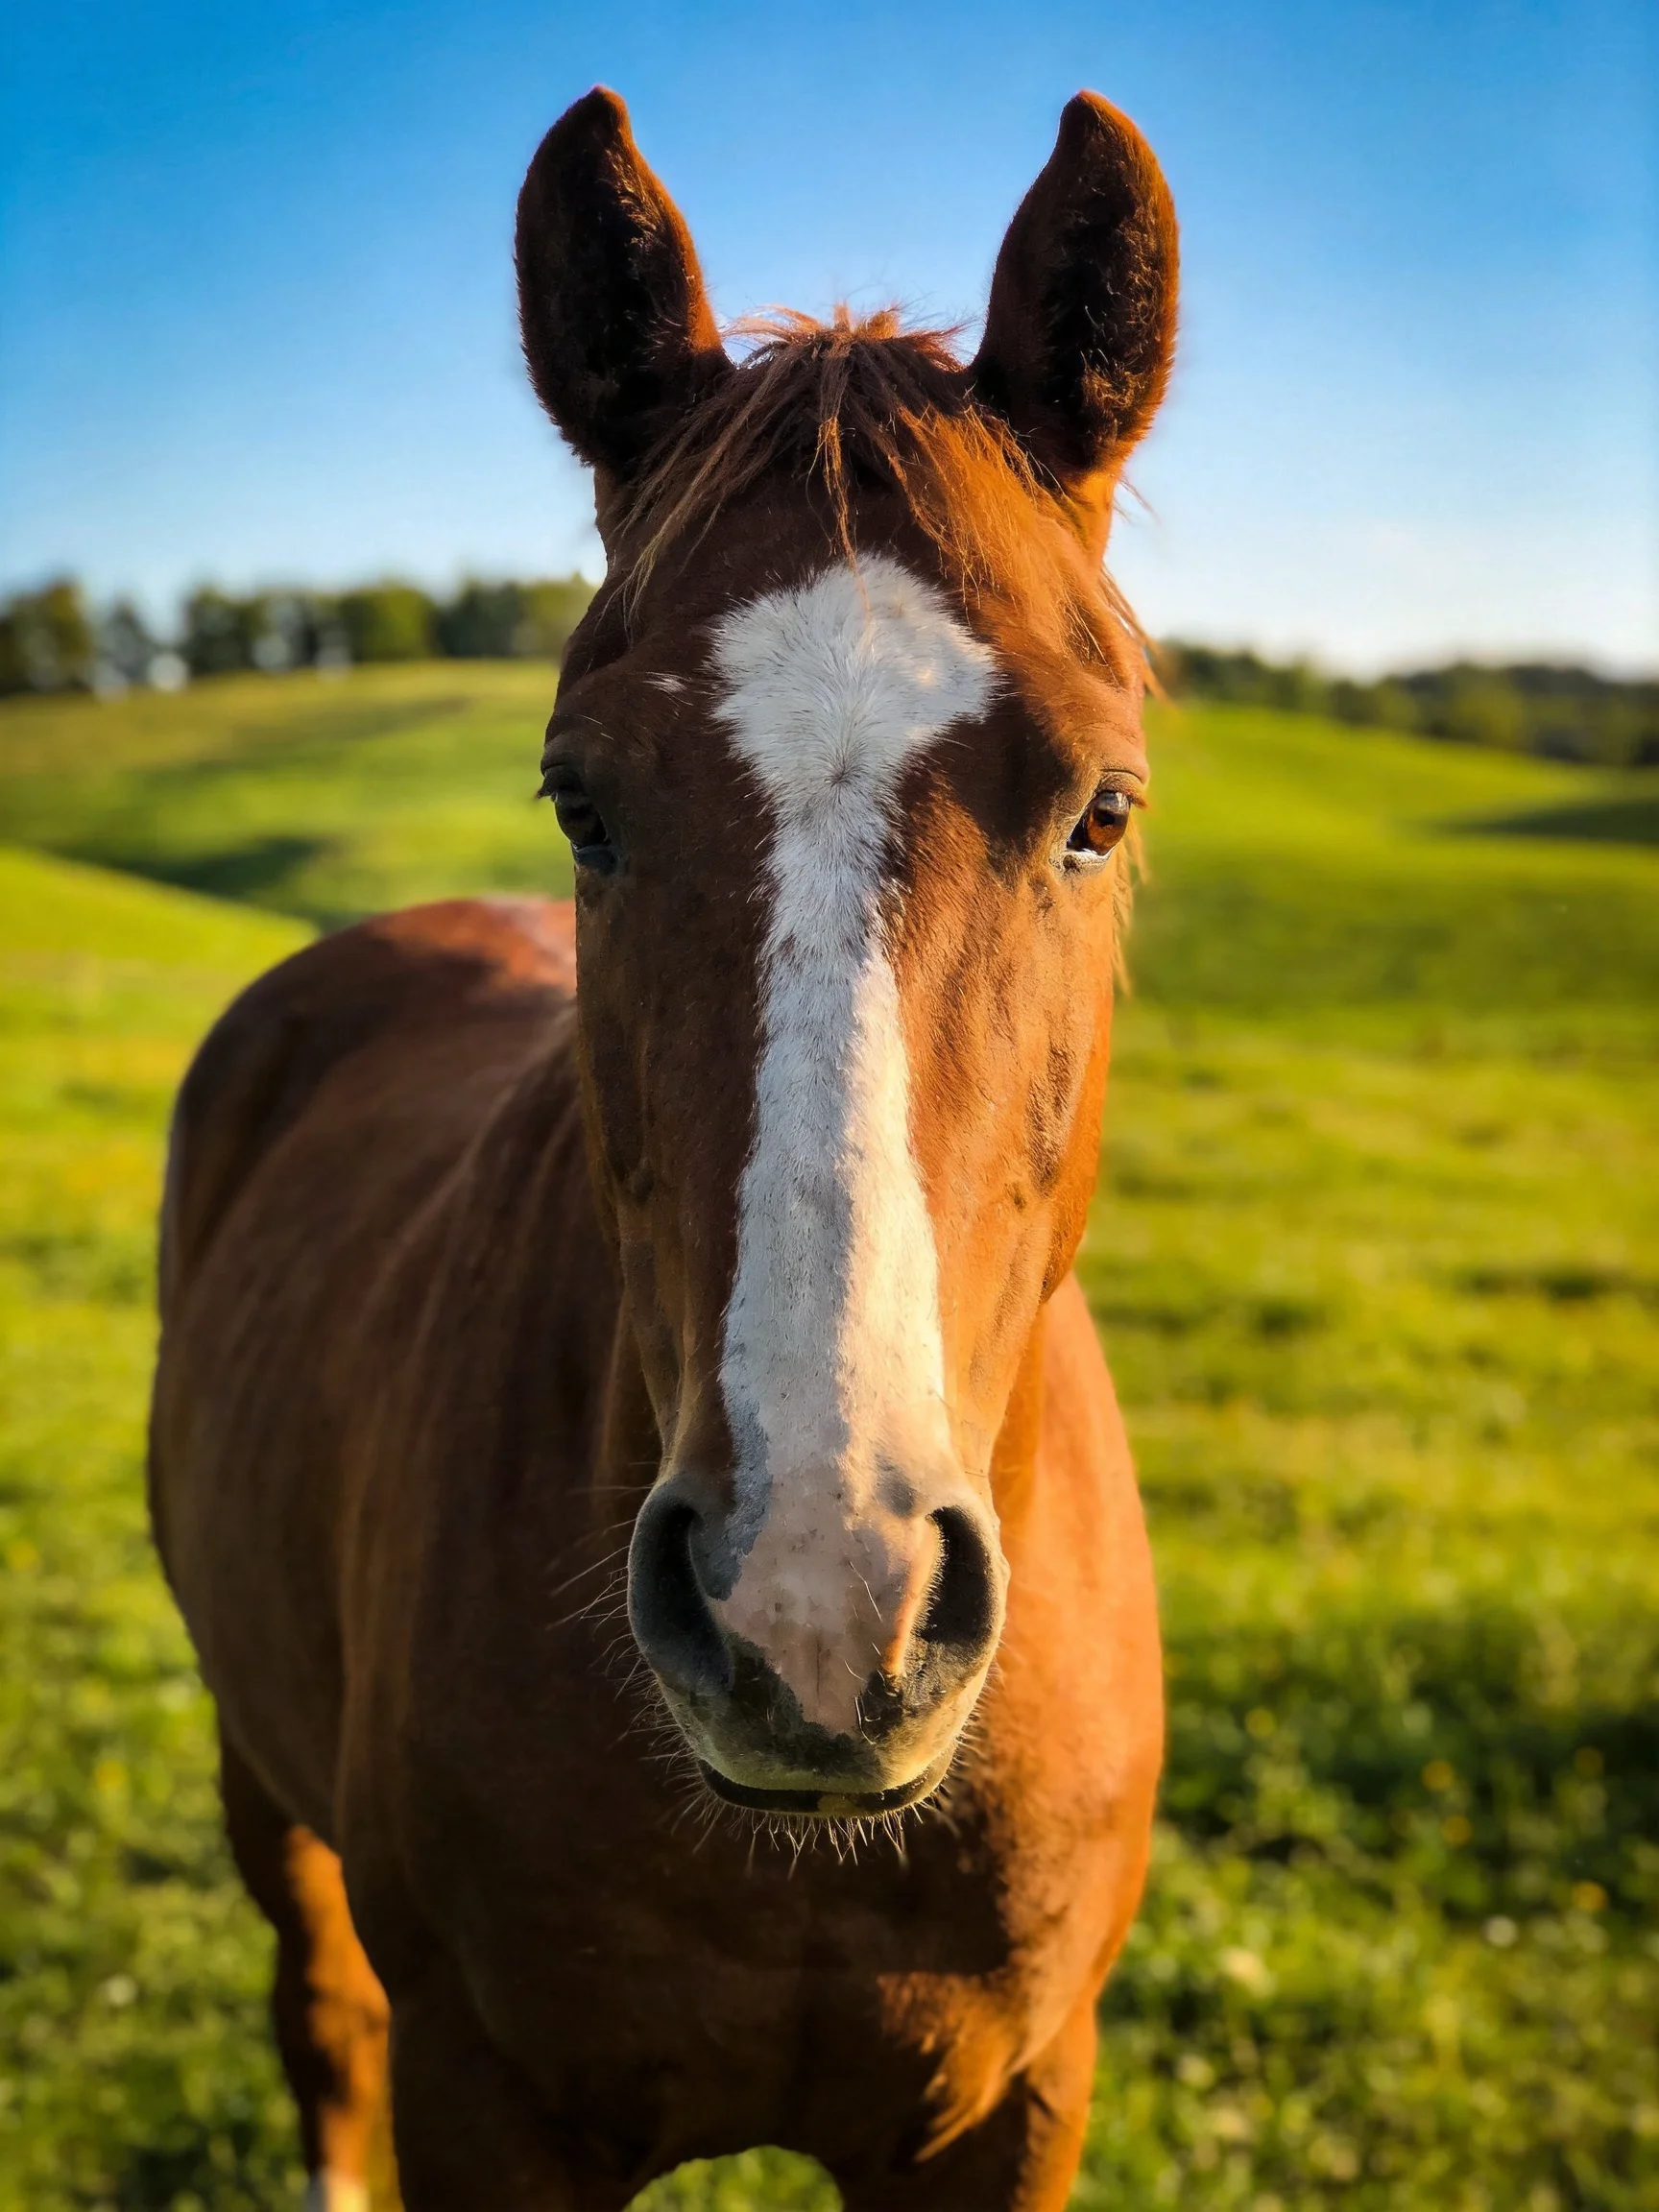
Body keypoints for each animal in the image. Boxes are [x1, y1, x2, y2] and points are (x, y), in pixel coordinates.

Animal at [148, 84, 1178, 2212]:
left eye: (1100, 811)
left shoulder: (1015, 2104)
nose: (816, 1604)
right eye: (584, 805)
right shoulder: (490, 2101)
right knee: (316, 2008)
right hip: (249, 1757)